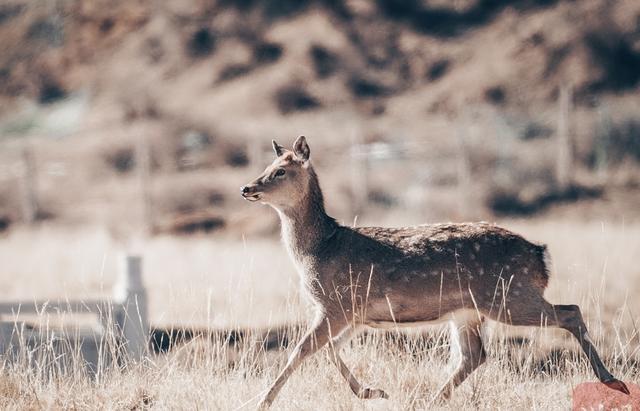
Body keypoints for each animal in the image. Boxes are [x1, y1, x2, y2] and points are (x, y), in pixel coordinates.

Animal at [241, 137, 632, 410]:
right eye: (269, 163)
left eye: (281, 170)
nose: (247, 188)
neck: (319, 250)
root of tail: (540, 256)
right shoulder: (352, 312)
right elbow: (328, 352)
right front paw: (373, 391)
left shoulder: (337, 304)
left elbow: (299, 351)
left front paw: (260, 401)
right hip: (471, 310)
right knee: (474, 355)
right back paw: (431, 400)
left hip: (509, 295)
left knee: (570, 311)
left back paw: (612, 380)